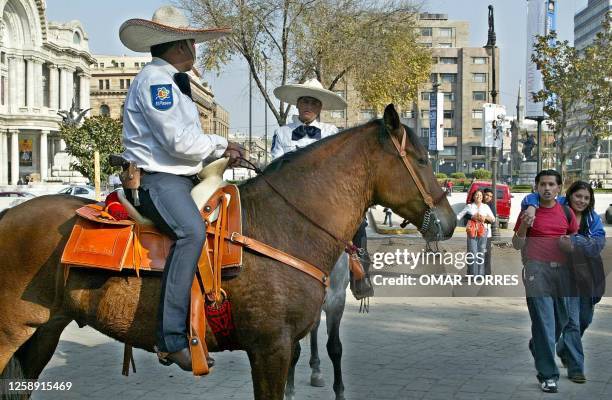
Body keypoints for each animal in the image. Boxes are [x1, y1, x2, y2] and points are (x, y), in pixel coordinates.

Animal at [0, 104, 454, 398]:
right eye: (421, 159)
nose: (449, 221)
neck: (286, 223)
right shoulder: (270, 349)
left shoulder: (284, 346)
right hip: (11, 332)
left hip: (42, 332)